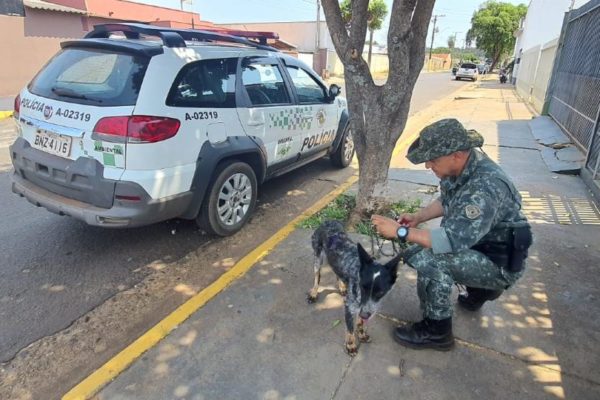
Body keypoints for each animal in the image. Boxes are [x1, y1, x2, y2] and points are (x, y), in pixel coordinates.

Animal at [308, 220, 400, 354]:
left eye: (380, 292)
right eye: (363, 287)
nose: (365, 315)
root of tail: (328, 221)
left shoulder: (362, 308)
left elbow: (360, 323)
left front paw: (361, 335)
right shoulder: (350, 307)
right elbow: (350, 329)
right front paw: (350, 345)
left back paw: (342, 287)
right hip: (317, 257)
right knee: (317, 277)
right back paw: (314, 293)